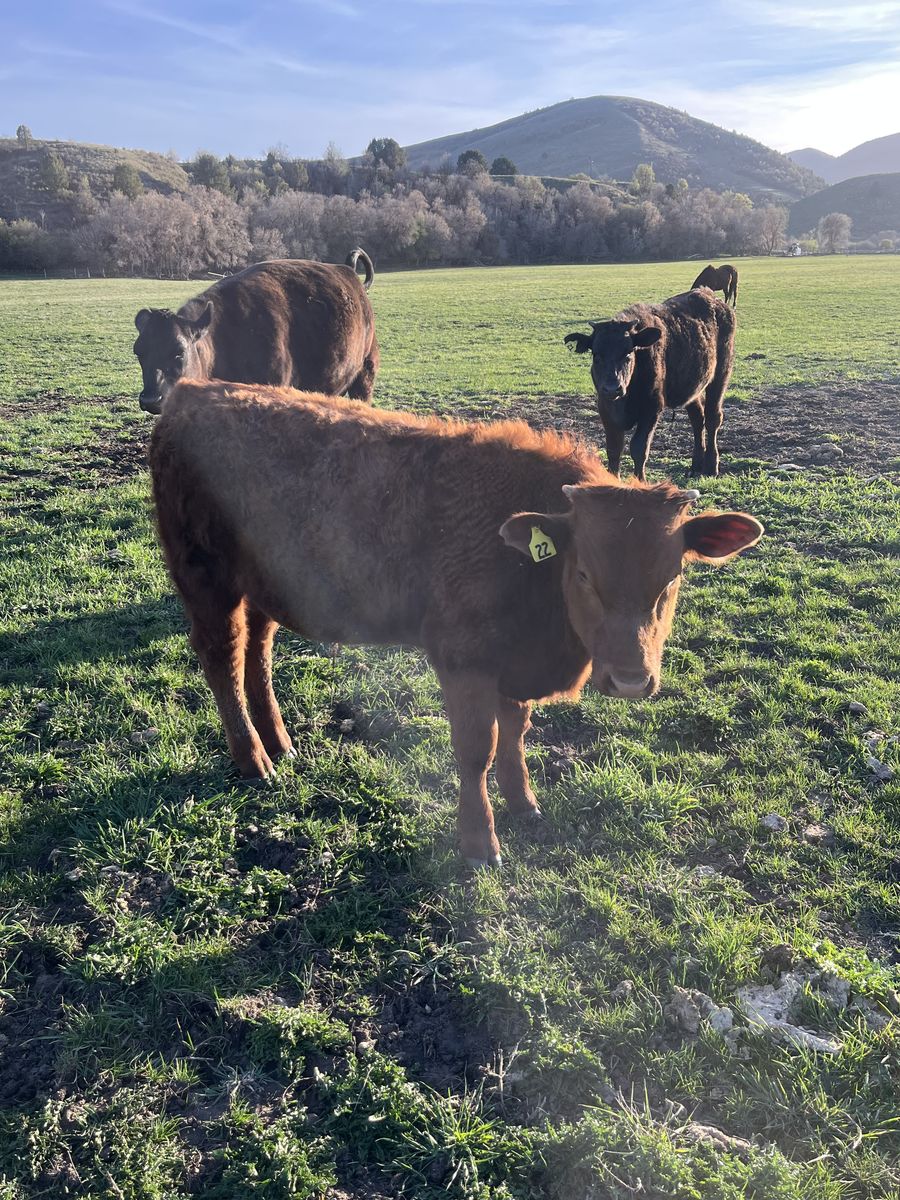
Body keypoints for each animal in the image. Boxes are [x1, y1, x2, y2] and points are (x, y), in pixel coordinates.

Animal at [150, 379, 763, 869]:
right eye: (585, 572)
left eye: (673, 577)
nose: (632, 680)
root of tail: (192, 391)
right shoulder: (464, 662)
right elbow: (476, 751)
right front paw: (479, 844)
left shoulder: (514, 666)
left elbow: (515, 735)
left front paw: (525, 804)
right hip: (207, 580)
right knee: (223, 657)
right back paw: (253, 759)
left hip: (262, 588)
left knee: (258, 650)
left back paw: (279, 742)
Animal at [564, 288, 736, 481]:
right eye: (596, 354)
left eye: (628, 352)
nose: (612, 388)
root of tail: (711, 297)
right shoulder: (606, 410)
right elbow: (614, 450)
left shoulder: (652, 409)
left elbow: (639, 448)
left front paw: (640, 481)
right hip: (693, 388)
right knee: (698, 419)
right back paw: (695, 465)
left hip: (721, 374)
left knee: (713, 418)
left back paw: (711, 466)